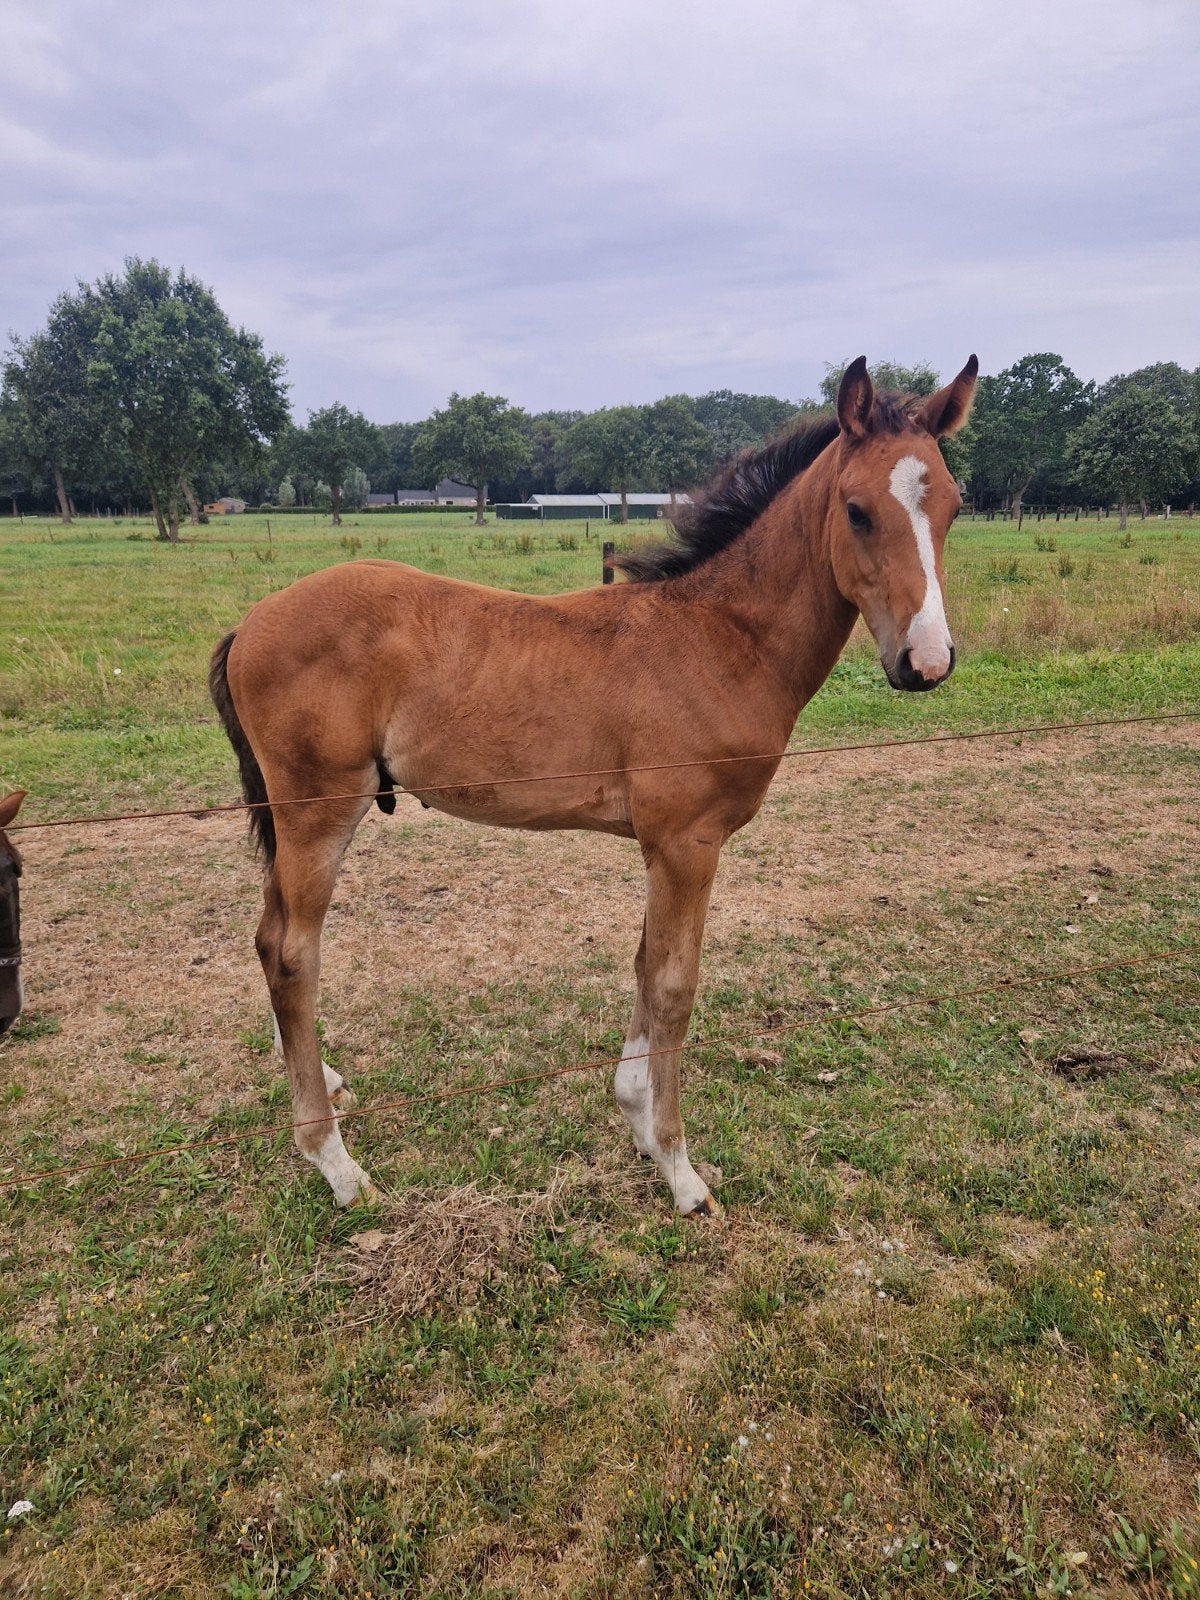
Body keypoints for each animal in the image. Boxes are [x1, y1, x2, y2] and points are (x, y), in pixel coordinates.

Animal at [210, 356, 977, 1216]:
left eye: (953, 506)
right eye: (856, 511)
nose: (926, 662)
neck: (719, 638)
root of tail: (250, 624)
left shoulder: (665, 847)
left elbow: (645, 964)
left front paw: (638, 1120)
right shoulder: (687, 843)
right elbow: (675, 985)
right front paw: (679, 1168)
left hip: (294, 822)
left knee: (269, 939)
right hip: (318, 814)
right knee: (292, 954)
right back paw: (336, 1163)